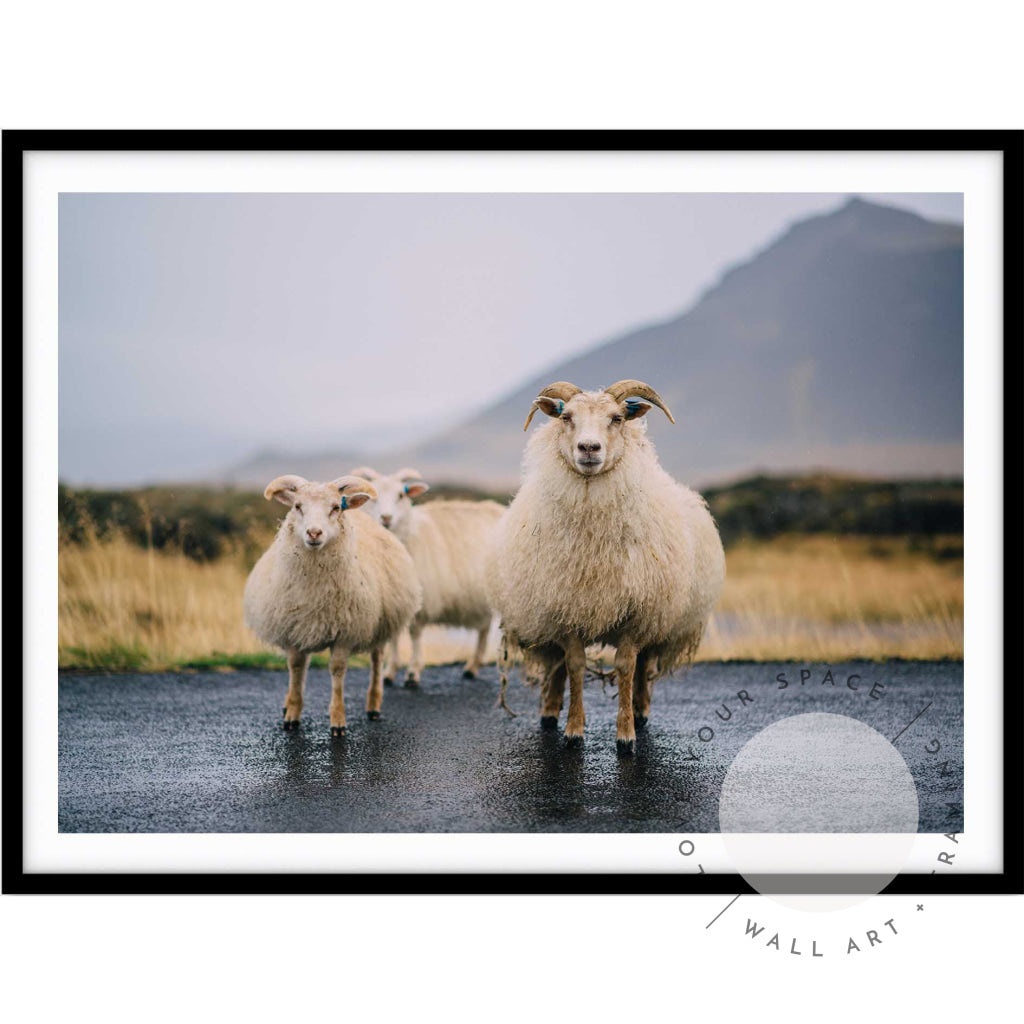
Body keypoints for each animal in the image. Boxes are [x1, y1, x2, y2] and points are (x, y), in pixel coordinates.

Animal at [241, 475, 421, 733]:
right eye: (297, 506)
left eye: (336, 508)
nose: (314, 533)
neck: (315, 587)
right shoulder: (295, 629)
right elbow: (296, 669)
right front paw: (292, 714)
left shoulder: (344, 633)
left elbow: (337, 672)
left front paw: (337, 721)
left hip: (380, 624)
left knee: (377, 661)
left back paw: (373, 705)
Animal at [350, 468, 505, 684]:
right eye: (374, 496)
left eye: (401, 495)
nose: (386, 518)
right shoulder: (397, 598)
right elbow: (395, 637)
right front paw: (389, 672)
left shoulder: (422, 601)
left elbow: (415, 634)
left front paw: (413, 672)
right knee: (484, 628)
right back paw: (472, 667)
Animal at [483, 376, 724, 753]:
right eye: (566, 417)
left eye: (617, 418)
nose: (589, 448)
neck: (594, 543)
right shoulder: (568, 610)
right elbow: (574, 665)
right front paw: (573, 730)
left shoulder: (636, 614)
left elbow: (626, 666)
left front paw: (626, 735)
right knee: (557, 665)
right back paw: (550, 711)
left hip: (659, 616)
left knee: (644, 665)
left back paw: (640, 710)